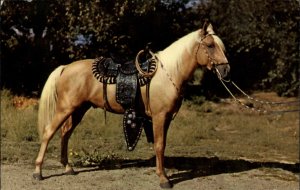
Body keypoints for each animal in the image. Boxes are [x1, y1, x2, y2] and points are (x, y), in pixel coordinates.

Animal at [33, 23, 230, 188]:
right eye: (210, 45)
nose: (226, 70)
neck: (168, 73)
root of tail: (65, 67)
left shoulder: (165, 119)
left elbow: (162, 145)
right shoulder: (159, 117)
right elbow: (159, 145)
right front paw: (163, 179)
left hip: (78, 110)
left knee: (65, 133)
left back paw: (68, 168)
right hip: (65, 108)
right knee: (49, 132)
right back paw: (38, 172)